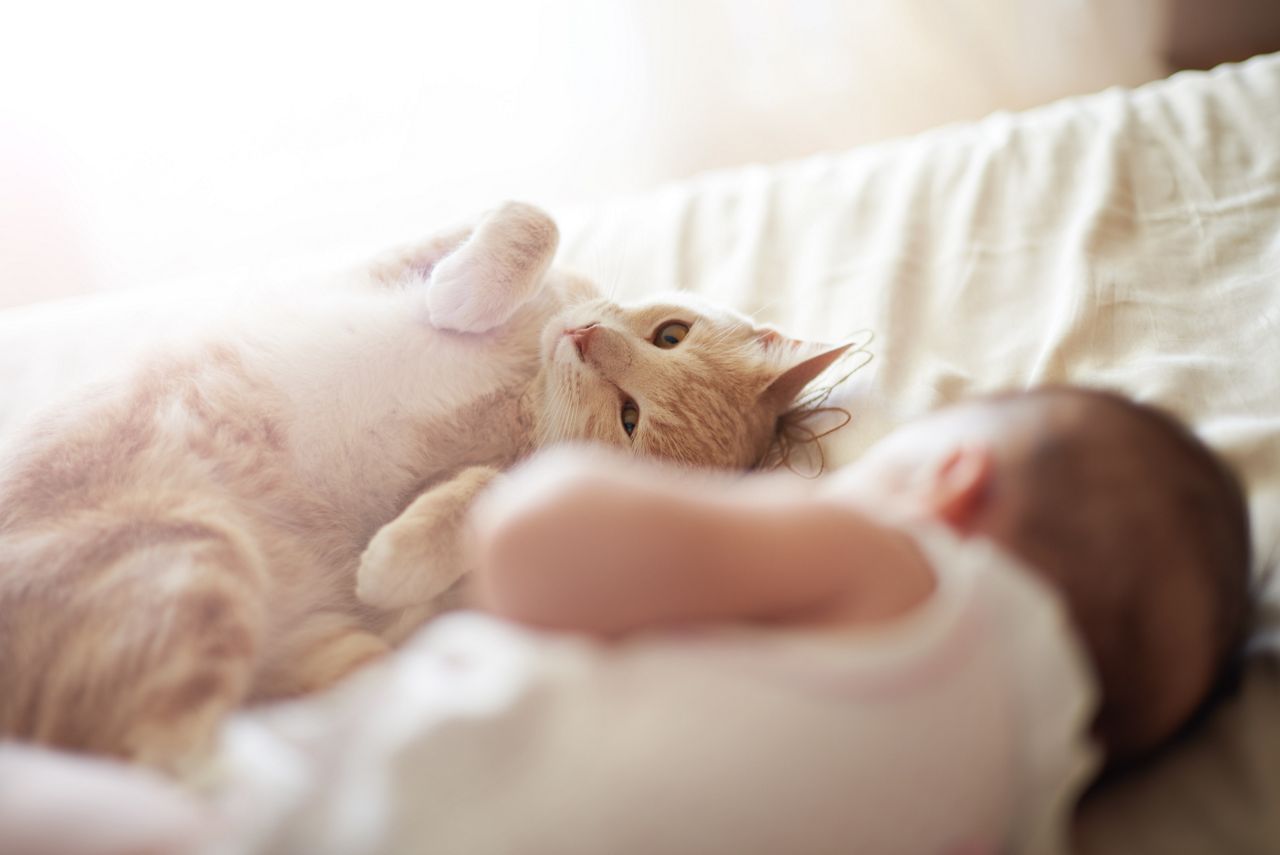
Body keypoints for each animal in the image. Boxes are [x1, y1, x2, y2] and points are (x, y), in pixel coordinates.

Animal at [0, 202, 855, 773]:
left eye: (630, 418)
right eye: (669, 334)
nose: (585, 338)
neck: (521, 387)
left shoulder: (501, 484)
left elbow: (467, 500)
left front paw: (394, 563)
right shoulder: (397, 257)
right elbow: (531, 222)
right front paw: (466, 295)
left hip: (199, 570)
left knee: (171, 756)